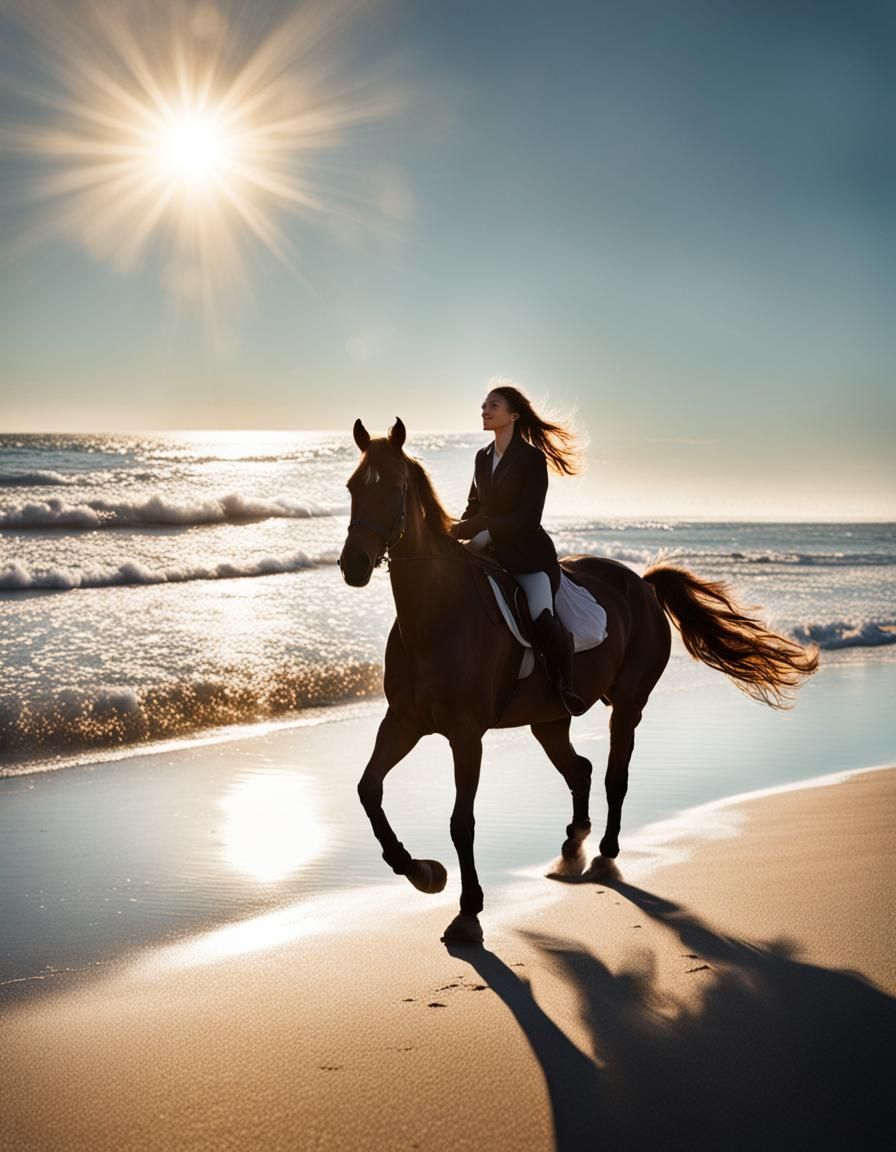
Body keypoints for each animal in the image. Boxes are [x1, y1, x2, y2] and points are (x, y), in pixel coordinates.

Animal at [338, 418, 819, 943]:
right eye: (352, 487)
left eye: (395, 488)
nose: (353, 565)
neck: (435, 616)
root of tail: (642, 583)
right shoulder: (403, 721)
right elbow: (368, 789)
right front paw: (422, 871)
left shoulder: (466, 734)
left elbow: (461, 822)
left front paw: (468, 910)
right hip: (548, 719)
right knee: (580, 770)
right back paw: (573, 846)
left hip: (627, 705)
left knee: (614, 775)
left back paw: (605, 853)